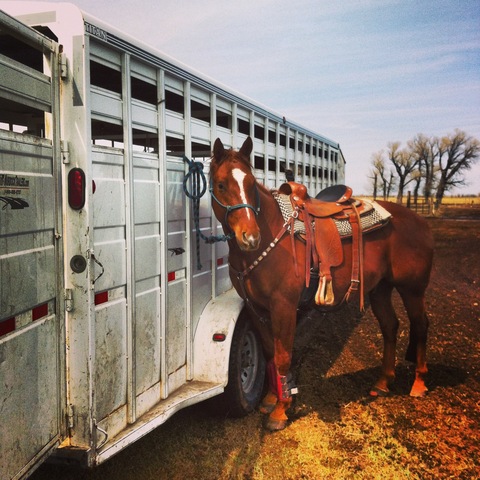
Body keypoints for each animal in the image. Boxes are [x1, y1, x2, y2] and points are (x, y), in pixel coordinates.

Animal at [208, 136, 434, 432]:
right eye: (221, 185)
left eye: (250, 183)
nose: (250, 237)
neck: (273, 234)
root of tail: (419, 221)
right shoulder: (257, 308)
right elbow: (270, 353)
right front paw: (270, 399)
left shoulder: (284, 306)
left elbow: (283, 357)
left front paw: (280, 410)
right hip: (380, 289)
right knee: (390, 326)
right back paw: (383, 382)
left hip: (412, 289)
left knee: (420, 325)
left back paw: (418, 383)